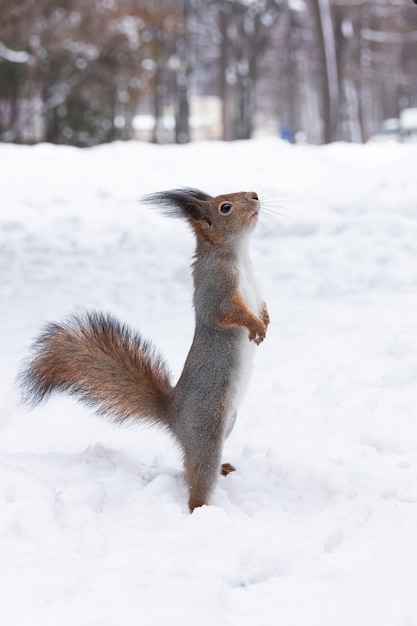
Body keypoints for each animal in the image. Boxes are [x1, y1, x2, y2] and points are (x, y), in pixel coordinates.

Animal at [19, 188, 268, 510]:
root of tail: (175, 416)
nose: (255, 195)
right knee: (198, 475)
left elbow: (261, 305)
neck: (239, 255)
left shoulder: (255, 291)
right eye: (225, 207)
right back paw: (203, 509)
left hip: (228, 424)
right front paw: (256, 327)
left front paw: (266, 320)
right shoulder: (216, 289)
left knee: (188, 464)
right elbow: (227, 313)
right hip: (208, 427)